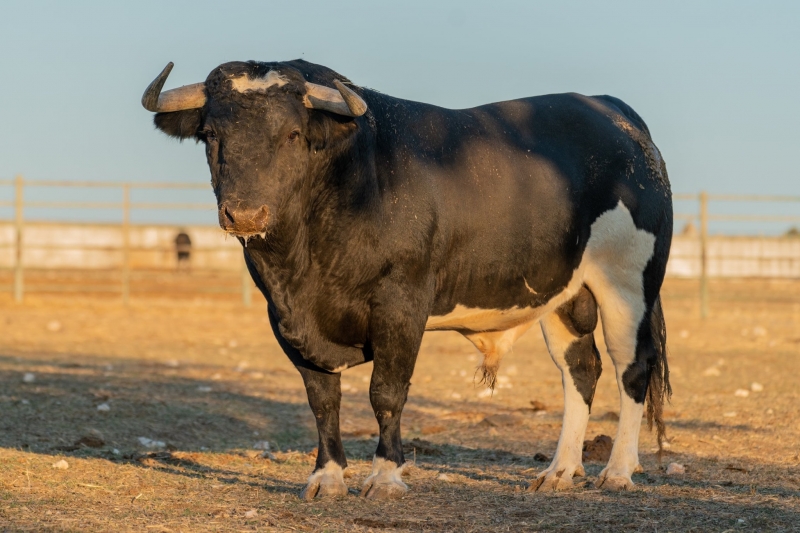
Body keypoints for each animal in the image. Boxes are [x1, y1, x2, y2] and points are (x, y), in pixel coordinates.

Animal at [144, 59, 668, 498]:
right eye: (211, 134)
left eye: (293, 133)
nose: (245, 214)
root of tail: (612, 111)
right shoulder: (285, 317)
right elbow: (322, 399)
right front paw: (326, 478)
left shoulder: (402, 302)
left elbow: (387, 392)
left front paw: (385, 477)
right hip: (567, 295)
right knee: (579, 368)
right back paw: (559, 471)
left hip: (628, 283)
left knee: (631, 367)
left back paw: (617, 471)